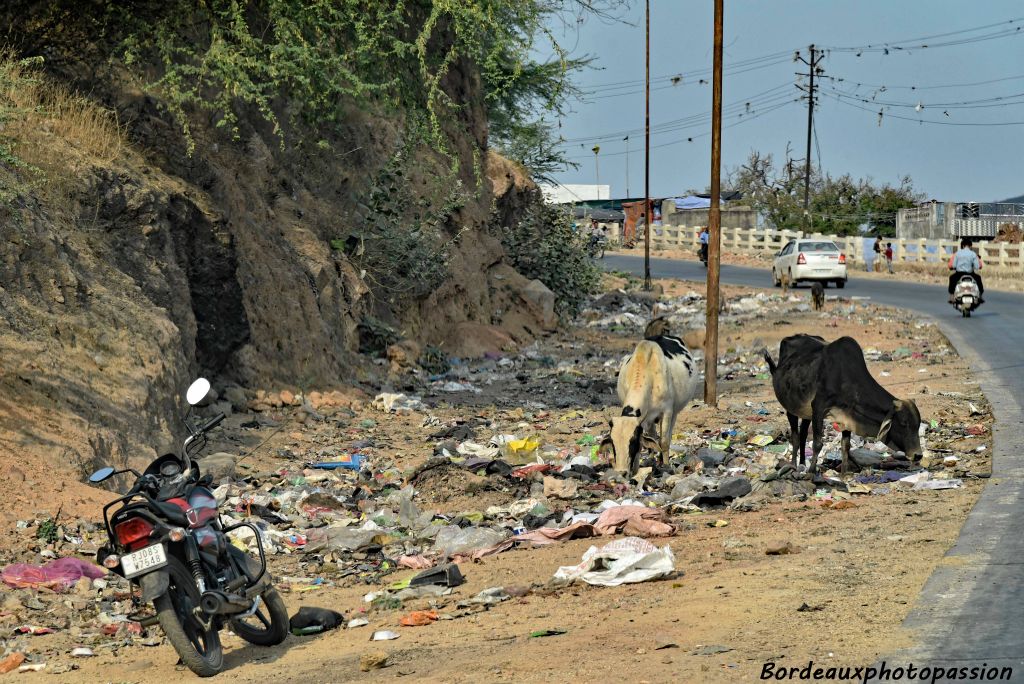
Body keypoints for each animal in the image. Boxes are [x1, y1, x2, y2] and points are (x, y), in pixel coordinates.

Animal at [598, 317, 704, 473]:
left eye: (632, 442)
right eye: (612, 443)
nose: (621, 472)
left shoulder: (667, 411)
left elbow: (663, 441)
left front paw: (665, 465)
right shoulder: (645, 419)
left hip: (674, 412)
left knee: (667, 436)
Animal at [765, 333, 925, 473]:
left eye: (917, 424)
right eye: (904, 423)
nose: (918, 455)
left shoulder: (848, 415)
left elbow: (845, 446)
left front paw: (844, 474)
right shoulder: (818, 408)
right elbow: (818, 444)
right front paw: (811, 473)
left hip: (806, 413)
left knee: (804, 435)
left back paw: (802, 463)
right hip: (791, 407)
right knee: (796, 437)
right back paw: (793, 465)